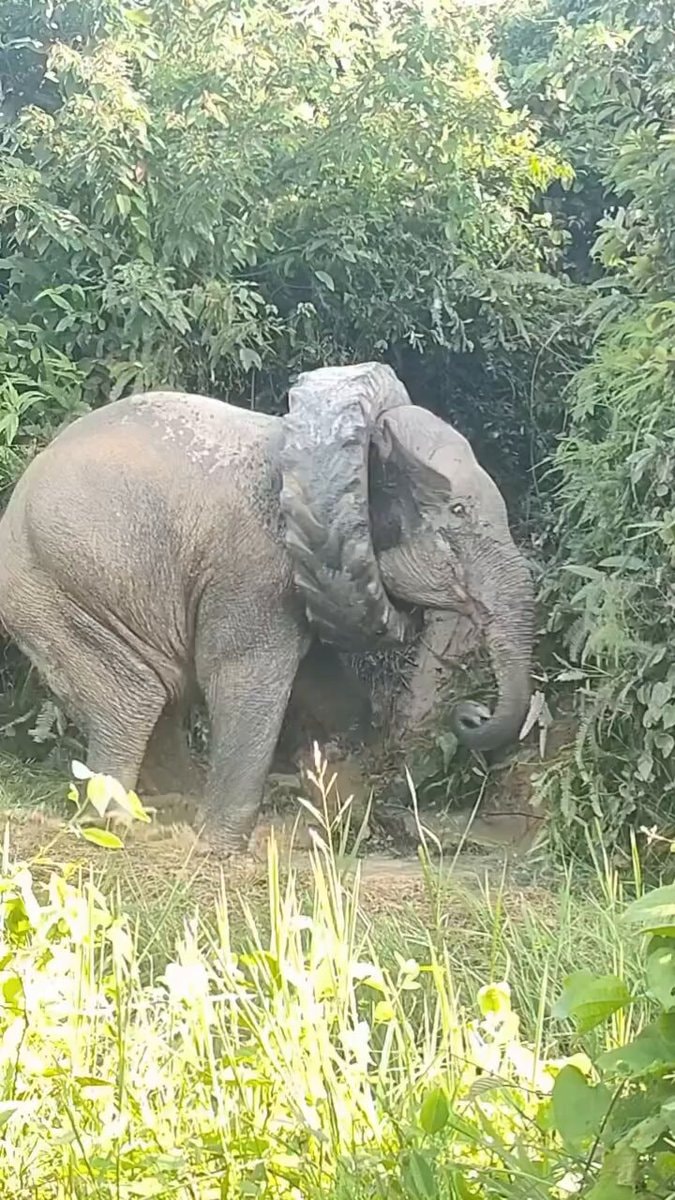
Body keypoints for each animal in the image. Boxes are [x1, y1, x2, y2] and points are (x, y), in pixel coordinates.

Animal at [0, 362, 534, 852]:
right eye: (458, 513)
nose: (471, 714)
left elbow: (328, 688)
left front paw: (340, 819)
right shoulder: (256, 568)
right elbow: (241, 677)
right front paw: (217, 850)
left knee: (161, 696)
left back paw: (167, 810)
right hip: (56, 593)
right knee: (134, 698)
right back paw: (116, 824)